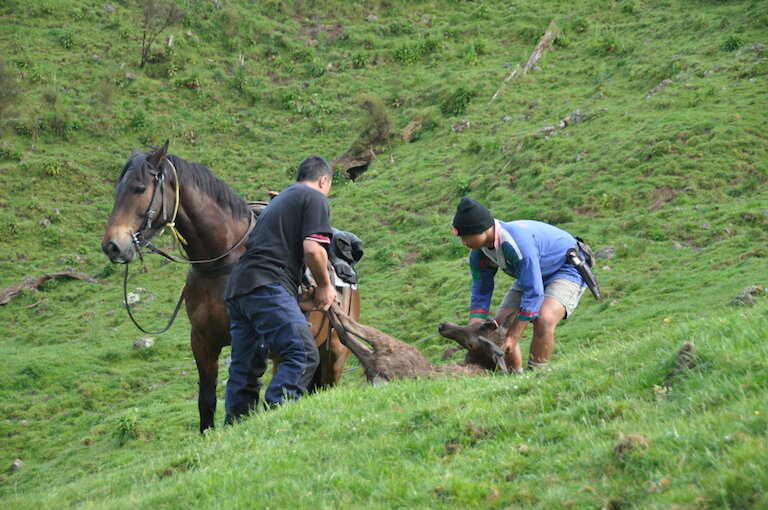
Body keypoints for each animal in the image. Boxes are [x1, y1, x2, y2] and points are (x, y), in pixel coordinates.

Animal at [100, 142, 360, 430]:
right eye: (118, 191)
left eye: (139, 188)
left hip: (333, 353)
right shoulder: (202, 341)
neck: (221, 261)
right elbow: (208, 401)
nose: (112, 246)